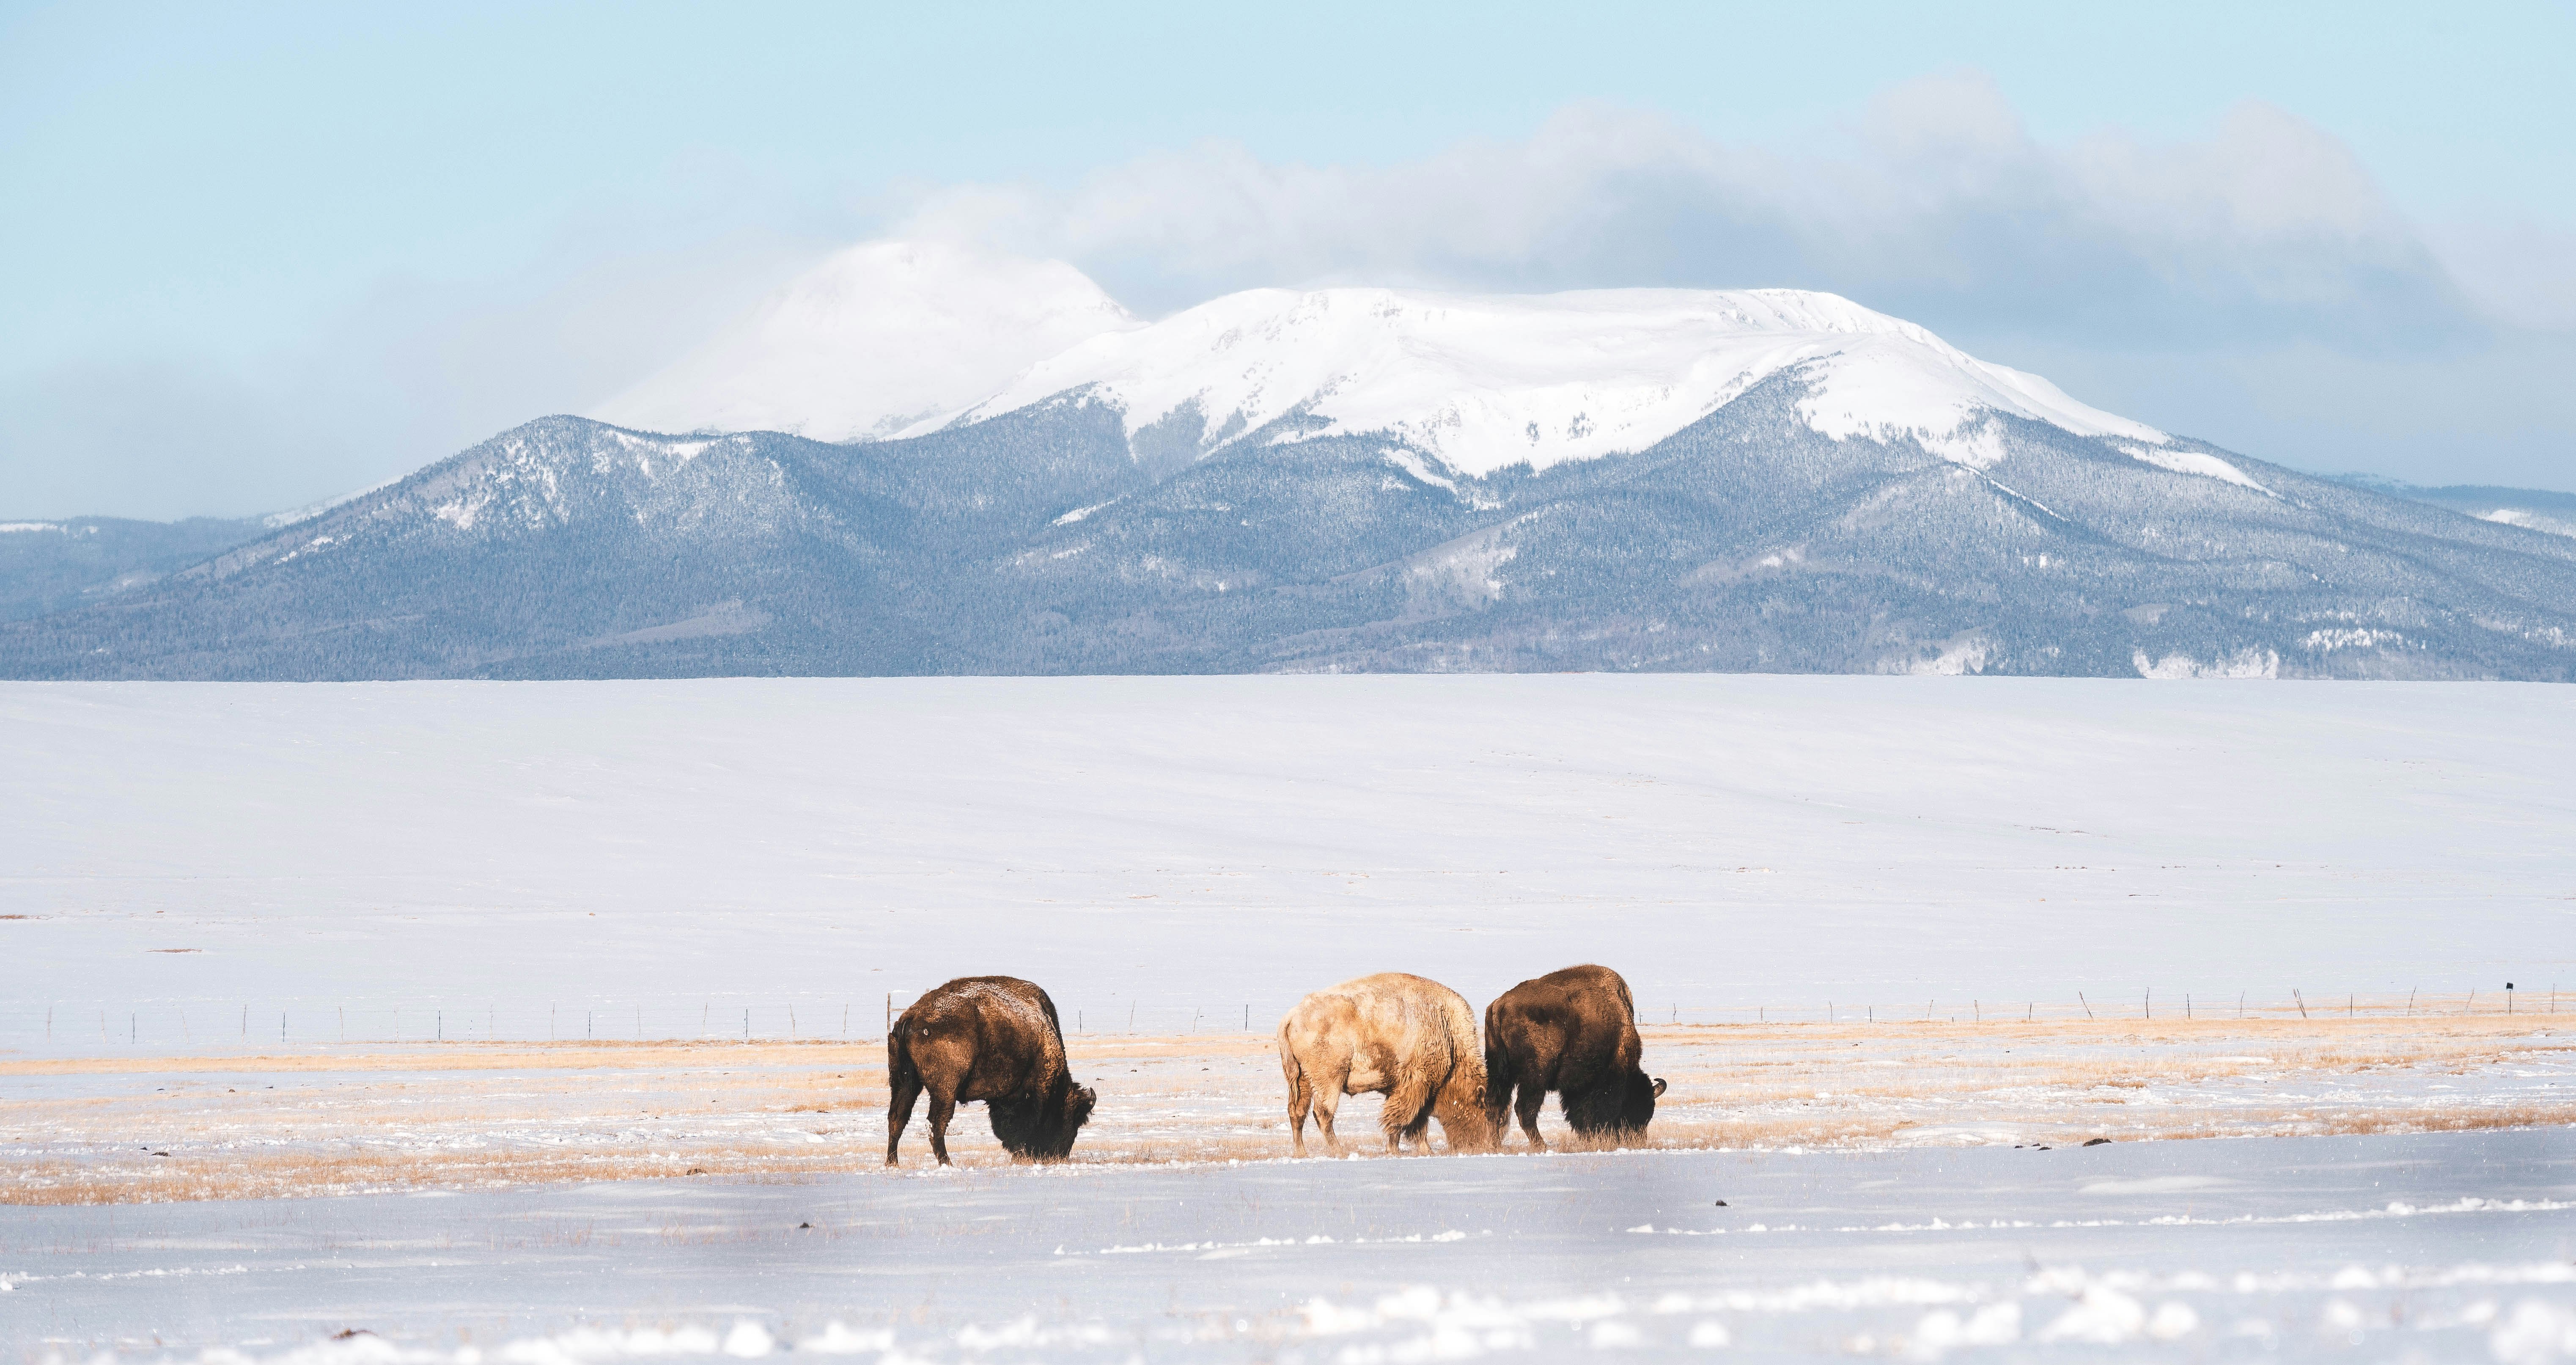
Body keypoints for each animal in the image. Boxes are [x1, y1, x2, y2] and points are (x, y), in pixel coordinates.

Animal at [886, 973, 1097, 1164]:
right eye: (1073, 1118)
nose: (1059, 1156)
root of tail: (911, 1017)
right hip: (944, 1090)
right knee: (935, 1124)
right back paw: (947, 1163)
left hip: (905, 1083)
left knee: (897, 1119)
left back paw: (893, 1163)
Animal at [1277, 968, 1504, 1148]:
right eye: (1486, 1113)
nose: (1489, 1146)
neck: (1447, 1030)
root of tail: (1292, 1016)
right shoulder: (1417, 1084)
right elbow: (1403, 1120)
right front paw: (1399, 1149)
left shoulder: (1406, 1088)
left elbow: (1415, 1122)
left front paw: (1419, 1150)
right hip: (1329, 1080)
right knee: (1323, 1114)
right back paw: (1339, 1152)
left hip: (1301, 1079)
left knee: (1297, 1113)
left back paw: (1301, 1152)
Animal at [1483, 963, 1659, 1143]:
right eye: (1637, 1106)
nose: (1637, 1139)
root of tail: (1500, 1005)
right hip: (1536, 1074)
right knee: (1525, 1109)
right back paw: (1541, 1145)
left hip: (1500, 1070)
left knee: (1494, 1105)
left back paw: (1496, 1144)